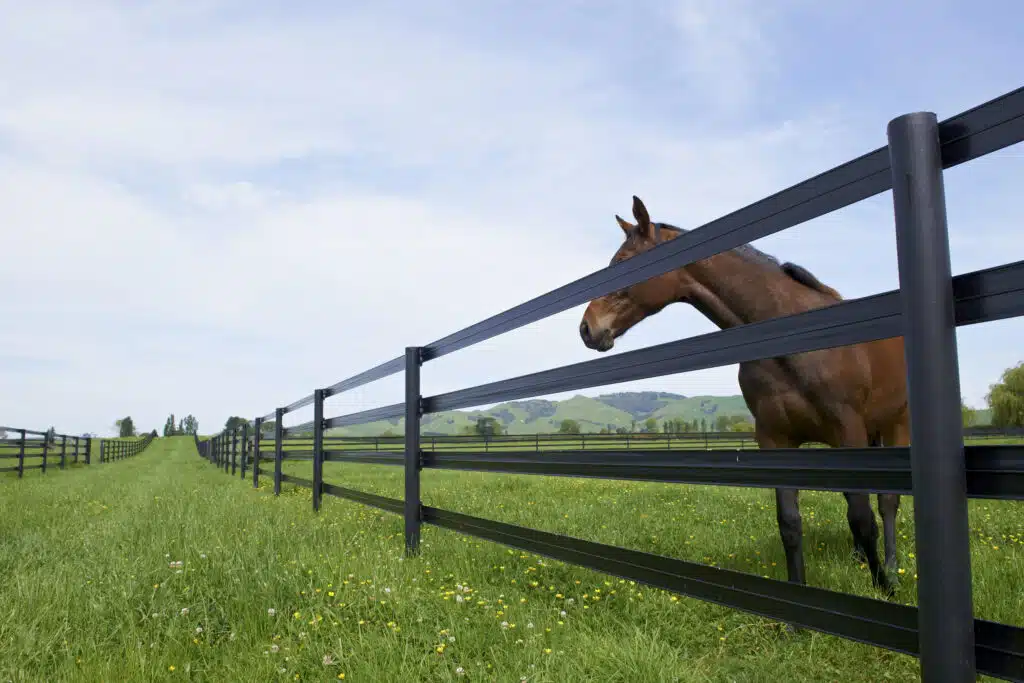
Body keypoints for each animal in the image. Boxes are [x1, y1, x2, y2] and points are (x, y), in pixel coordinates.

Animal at [579, 196, 909, 595]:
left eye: (625, 263)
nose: (587, 328)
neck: (790, 336)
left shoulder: (848, 431)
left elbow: (862, 517)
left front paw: (886, 590)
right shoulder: (775, 439)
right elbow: (790, 524)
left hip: (894, 425)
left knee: (887, 502)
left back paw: (890, 569)